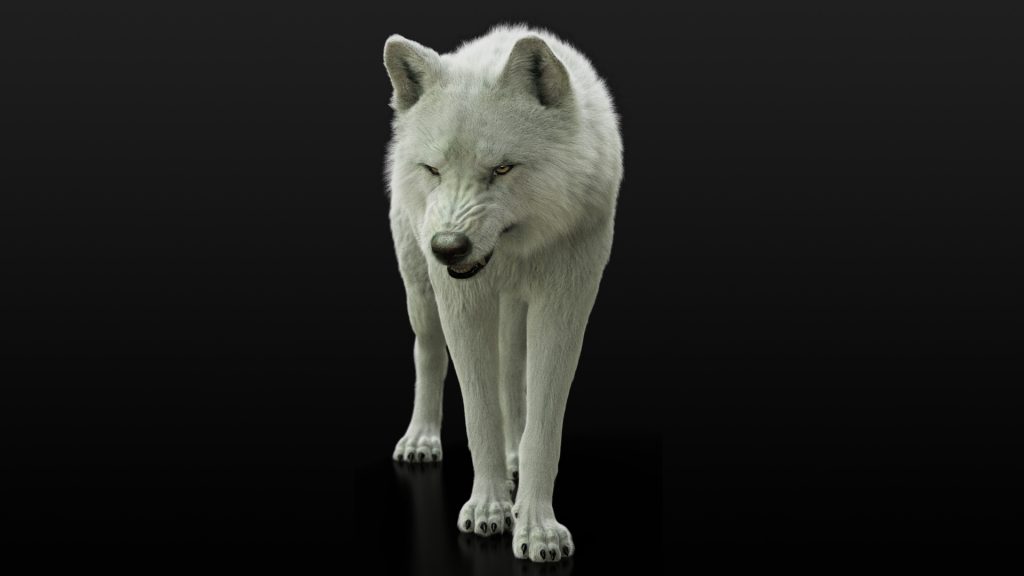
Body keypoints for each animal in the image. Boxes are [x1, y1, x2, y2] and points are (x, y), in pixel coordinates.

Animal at [382, 23, 622, 562]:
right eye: (433, 170)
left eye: (503, 169)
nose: (447, 247)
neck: (516, 249)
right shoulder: (462, 303)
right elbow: (480, 412)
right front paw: (489, 508)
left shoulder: (565, 302)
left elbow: (542, 424)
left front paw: (537, 528)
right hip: (420, 292)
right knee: (428, 353)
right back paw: (421, 439)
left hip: (515, 309)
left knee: (512, 374)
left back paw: (513, 457)